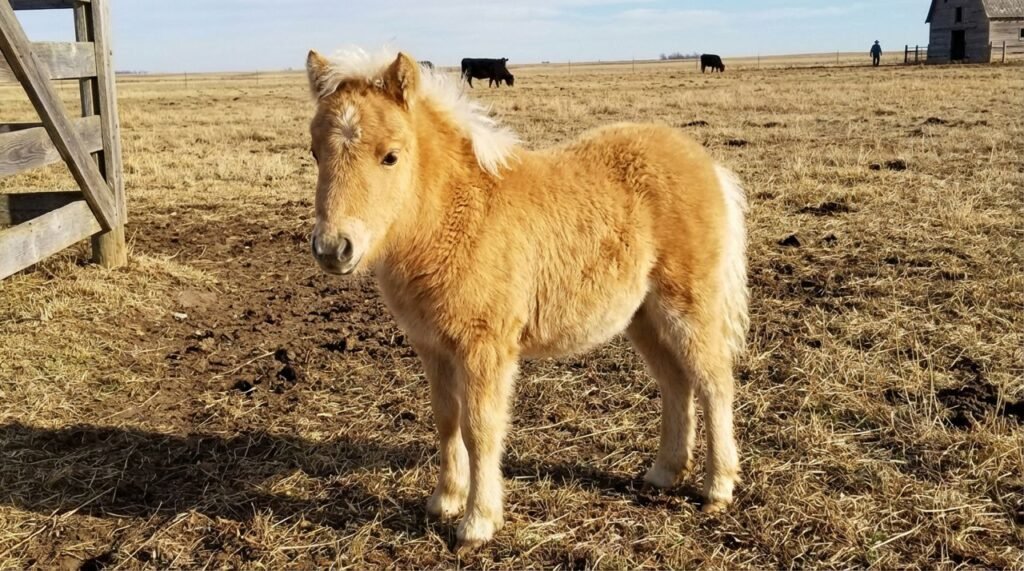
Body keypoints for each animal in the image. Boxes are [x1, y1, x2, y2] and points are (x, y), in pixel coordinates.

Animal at [304, 47, 749, 551]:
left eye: (390, 156)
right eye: (315, 152)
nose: (333, 249)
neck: (456, 216)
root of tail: (709, 165)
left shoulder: (485, 347)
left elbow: (480, 428)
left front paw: (477, 523)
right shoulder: (432, 346)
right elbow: (446, 418)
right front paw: (444, 500)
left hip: (688, 304)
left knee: (714, 382)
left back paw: (718, 489)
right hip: (643, 315)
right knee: (675, 382)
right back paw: (663, 472)